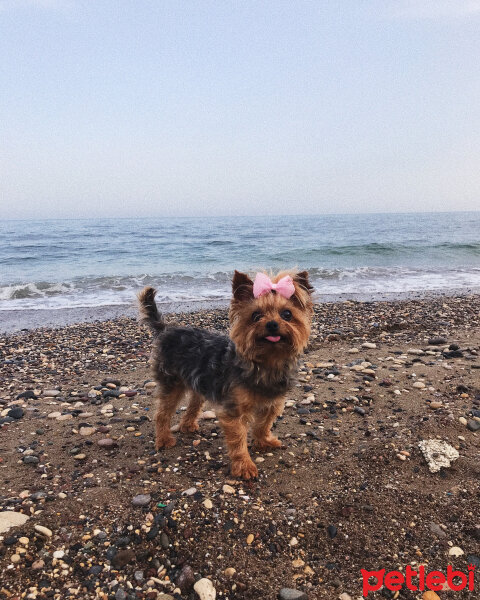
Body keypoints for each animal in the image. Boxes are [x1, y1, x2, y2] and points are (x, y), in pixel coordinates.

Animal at [137, 270, 314, 480]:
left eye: (287, 314)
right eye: (256, 315)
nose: (272, 324)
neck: (267, 362)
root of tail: (166, 328)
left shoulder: (272, 403)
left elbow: (263, 424)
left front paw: (264, 442)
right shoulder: (234, 409)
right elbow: (238, 439)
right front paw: (244, 466)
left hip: (200, 380)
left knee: (194, 403)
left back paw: (187, 425)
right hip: (171, 382)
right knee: (162, 413)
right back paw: (164, 439)